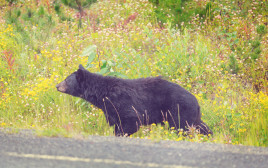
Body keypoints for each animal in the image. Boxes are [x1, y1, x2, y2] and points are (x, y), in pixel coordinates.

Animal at [56, 65, 211, 136]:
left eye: (66, 80)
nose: (57, 85)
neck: (102, 94)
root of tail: (196, 101)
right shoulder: (110, 110)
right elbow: (115, 122)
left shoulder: (122, 103)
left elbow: (131, 121)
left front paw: (121, 135)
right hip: (193, 115)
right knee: (200, 125)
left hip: (179, 110)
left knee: (181, 126)